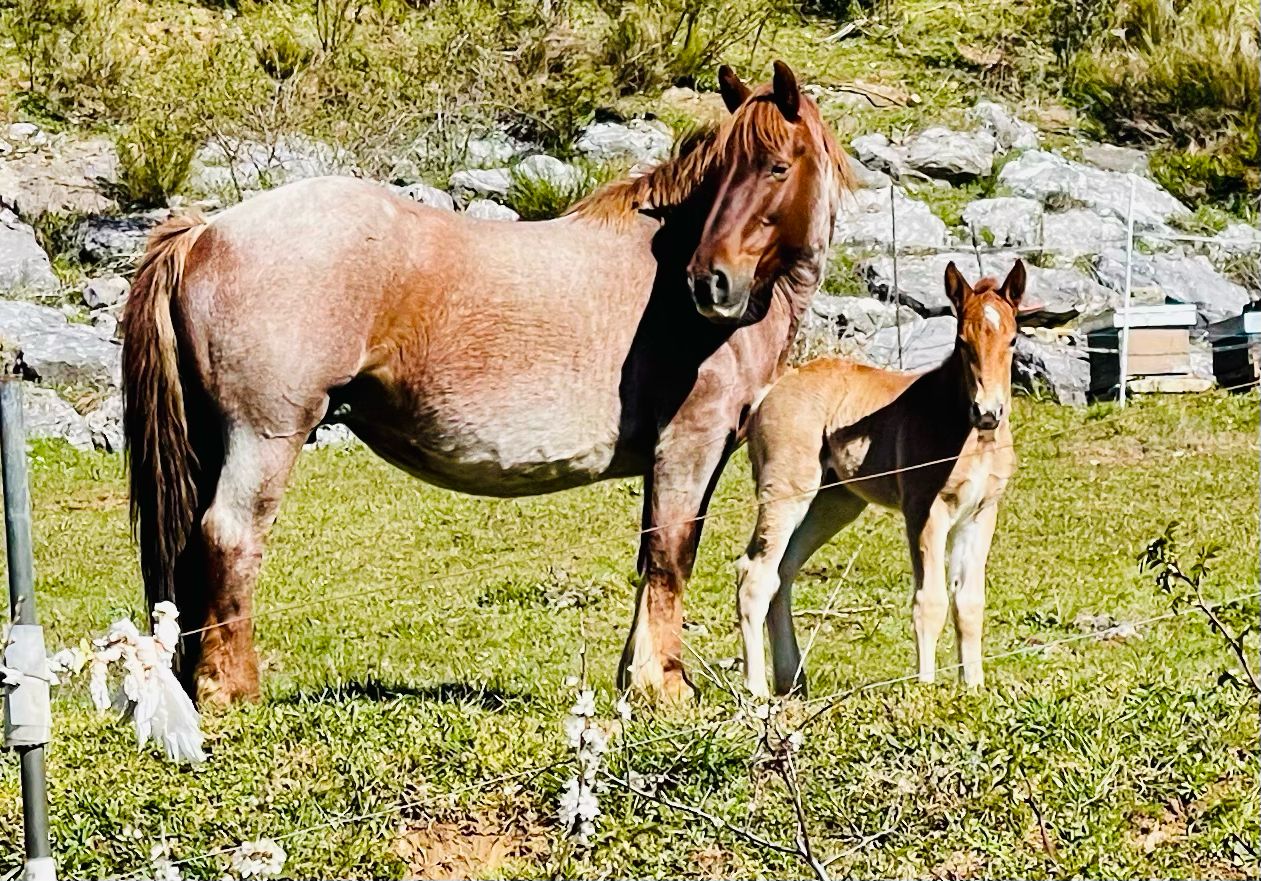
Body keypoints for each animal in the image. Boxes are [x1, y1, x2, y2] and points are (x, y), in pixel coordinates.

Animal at [125, 62, 857, 700]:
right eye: (725, 169)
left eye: (775, 166)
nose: (710, 283)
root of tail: (207, 231)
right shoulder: (688, 445)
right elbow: (672, 554)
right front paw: (666, 688)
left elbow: (656, 555)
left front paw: (637, 678)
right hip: (266, 434)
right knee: (231, 536)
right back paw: (230, 689)